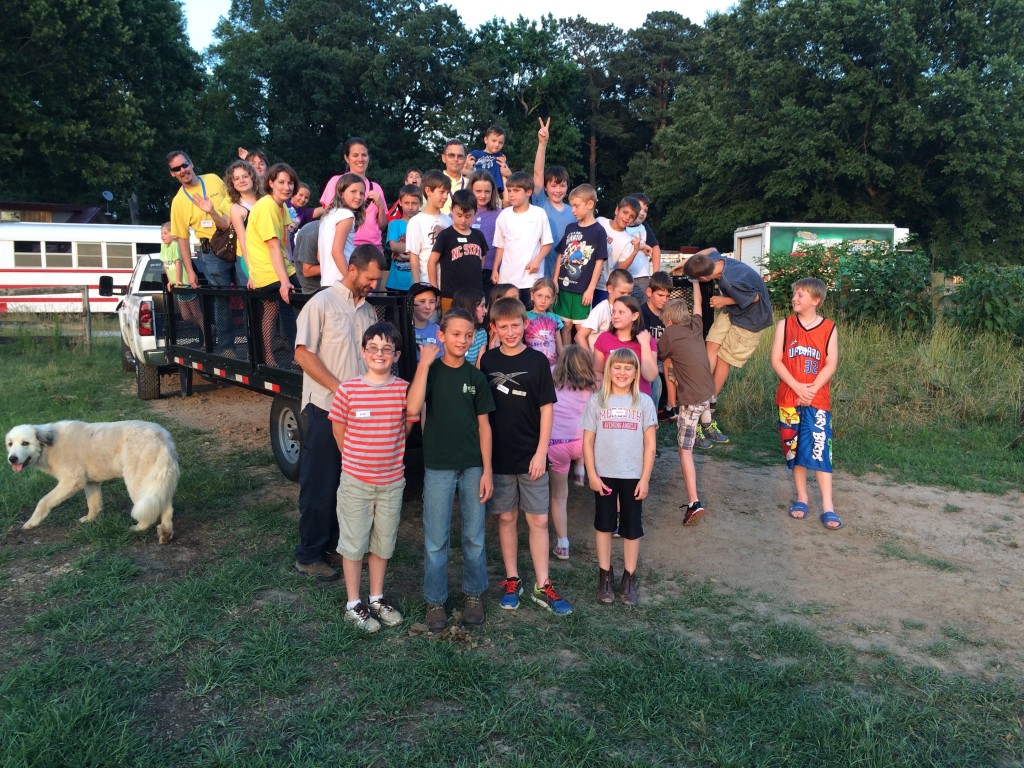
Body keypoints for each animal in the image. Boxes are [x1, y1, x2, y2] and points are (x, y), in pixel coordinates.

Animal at [6, 423, 179, 544]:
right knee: (166, 507)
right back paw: (165, 533)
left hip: (138, 483)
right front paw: (90, 520)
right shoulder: (91, 482)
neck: (48, 446)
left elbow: (43, 501)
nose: (12, 459)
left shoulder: (72, 480)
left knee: (151, 510)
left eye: (25, 443)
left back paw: (140, 527)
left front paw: (31, 523)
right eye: (10, 444)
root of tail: (161, 437)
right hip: (157, 482)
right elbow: (93, 504)